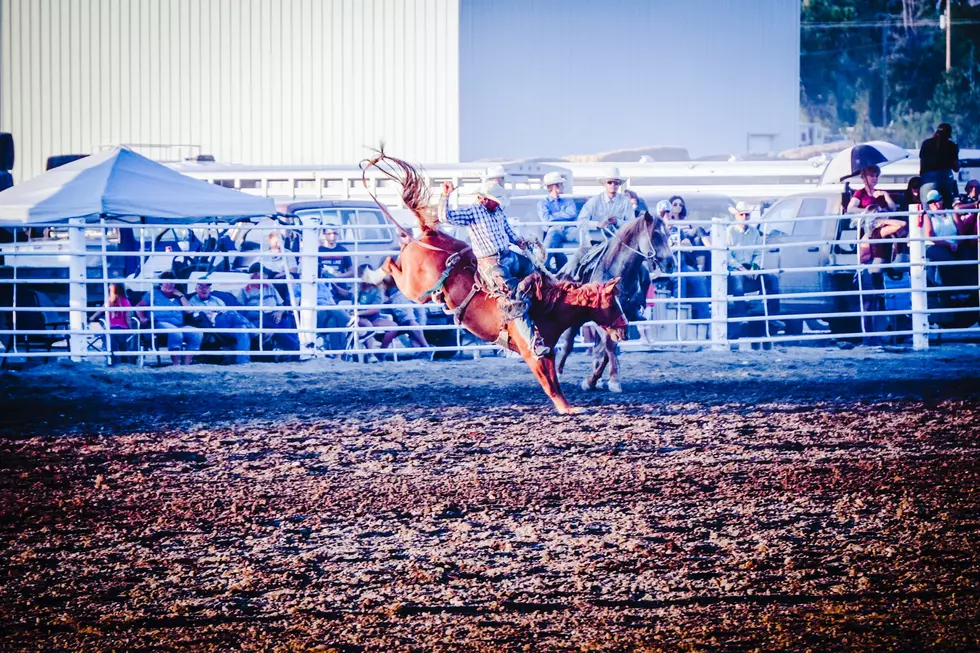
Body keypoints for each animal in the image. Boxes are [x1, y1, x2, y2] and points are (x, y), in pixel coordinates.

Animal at [360, 152, 628, 412]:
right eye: (612, 304)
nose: (625, 329)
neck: (548, 308)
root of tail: (429, 233)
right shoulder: (533, 353)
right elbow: (549, 384)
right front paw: (567, 409)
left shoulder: (548, 351)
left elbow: (554, 381)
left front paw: (568, 407)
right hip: (415, 288)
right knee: (390, 264)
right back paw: (375, 275)